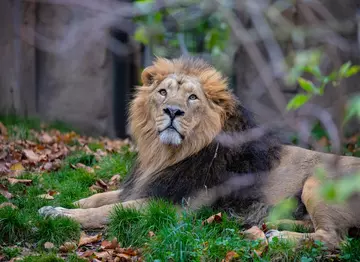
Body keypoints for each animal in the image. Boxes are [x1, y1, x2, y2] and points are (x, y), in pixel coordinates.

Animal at [39, 55, 360, 250]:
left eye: (192, 97)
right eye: (163, 93)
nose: (172, 111)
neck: (166, 154)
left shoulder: (171, 206)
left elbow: (109, 210)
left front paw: (59, 215)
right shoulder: (148, 185)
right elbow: (101, 198)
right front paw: (62, 202)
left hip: (318, 181)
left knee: (336, 238)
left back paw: (280, 236)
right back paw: (272, 224)